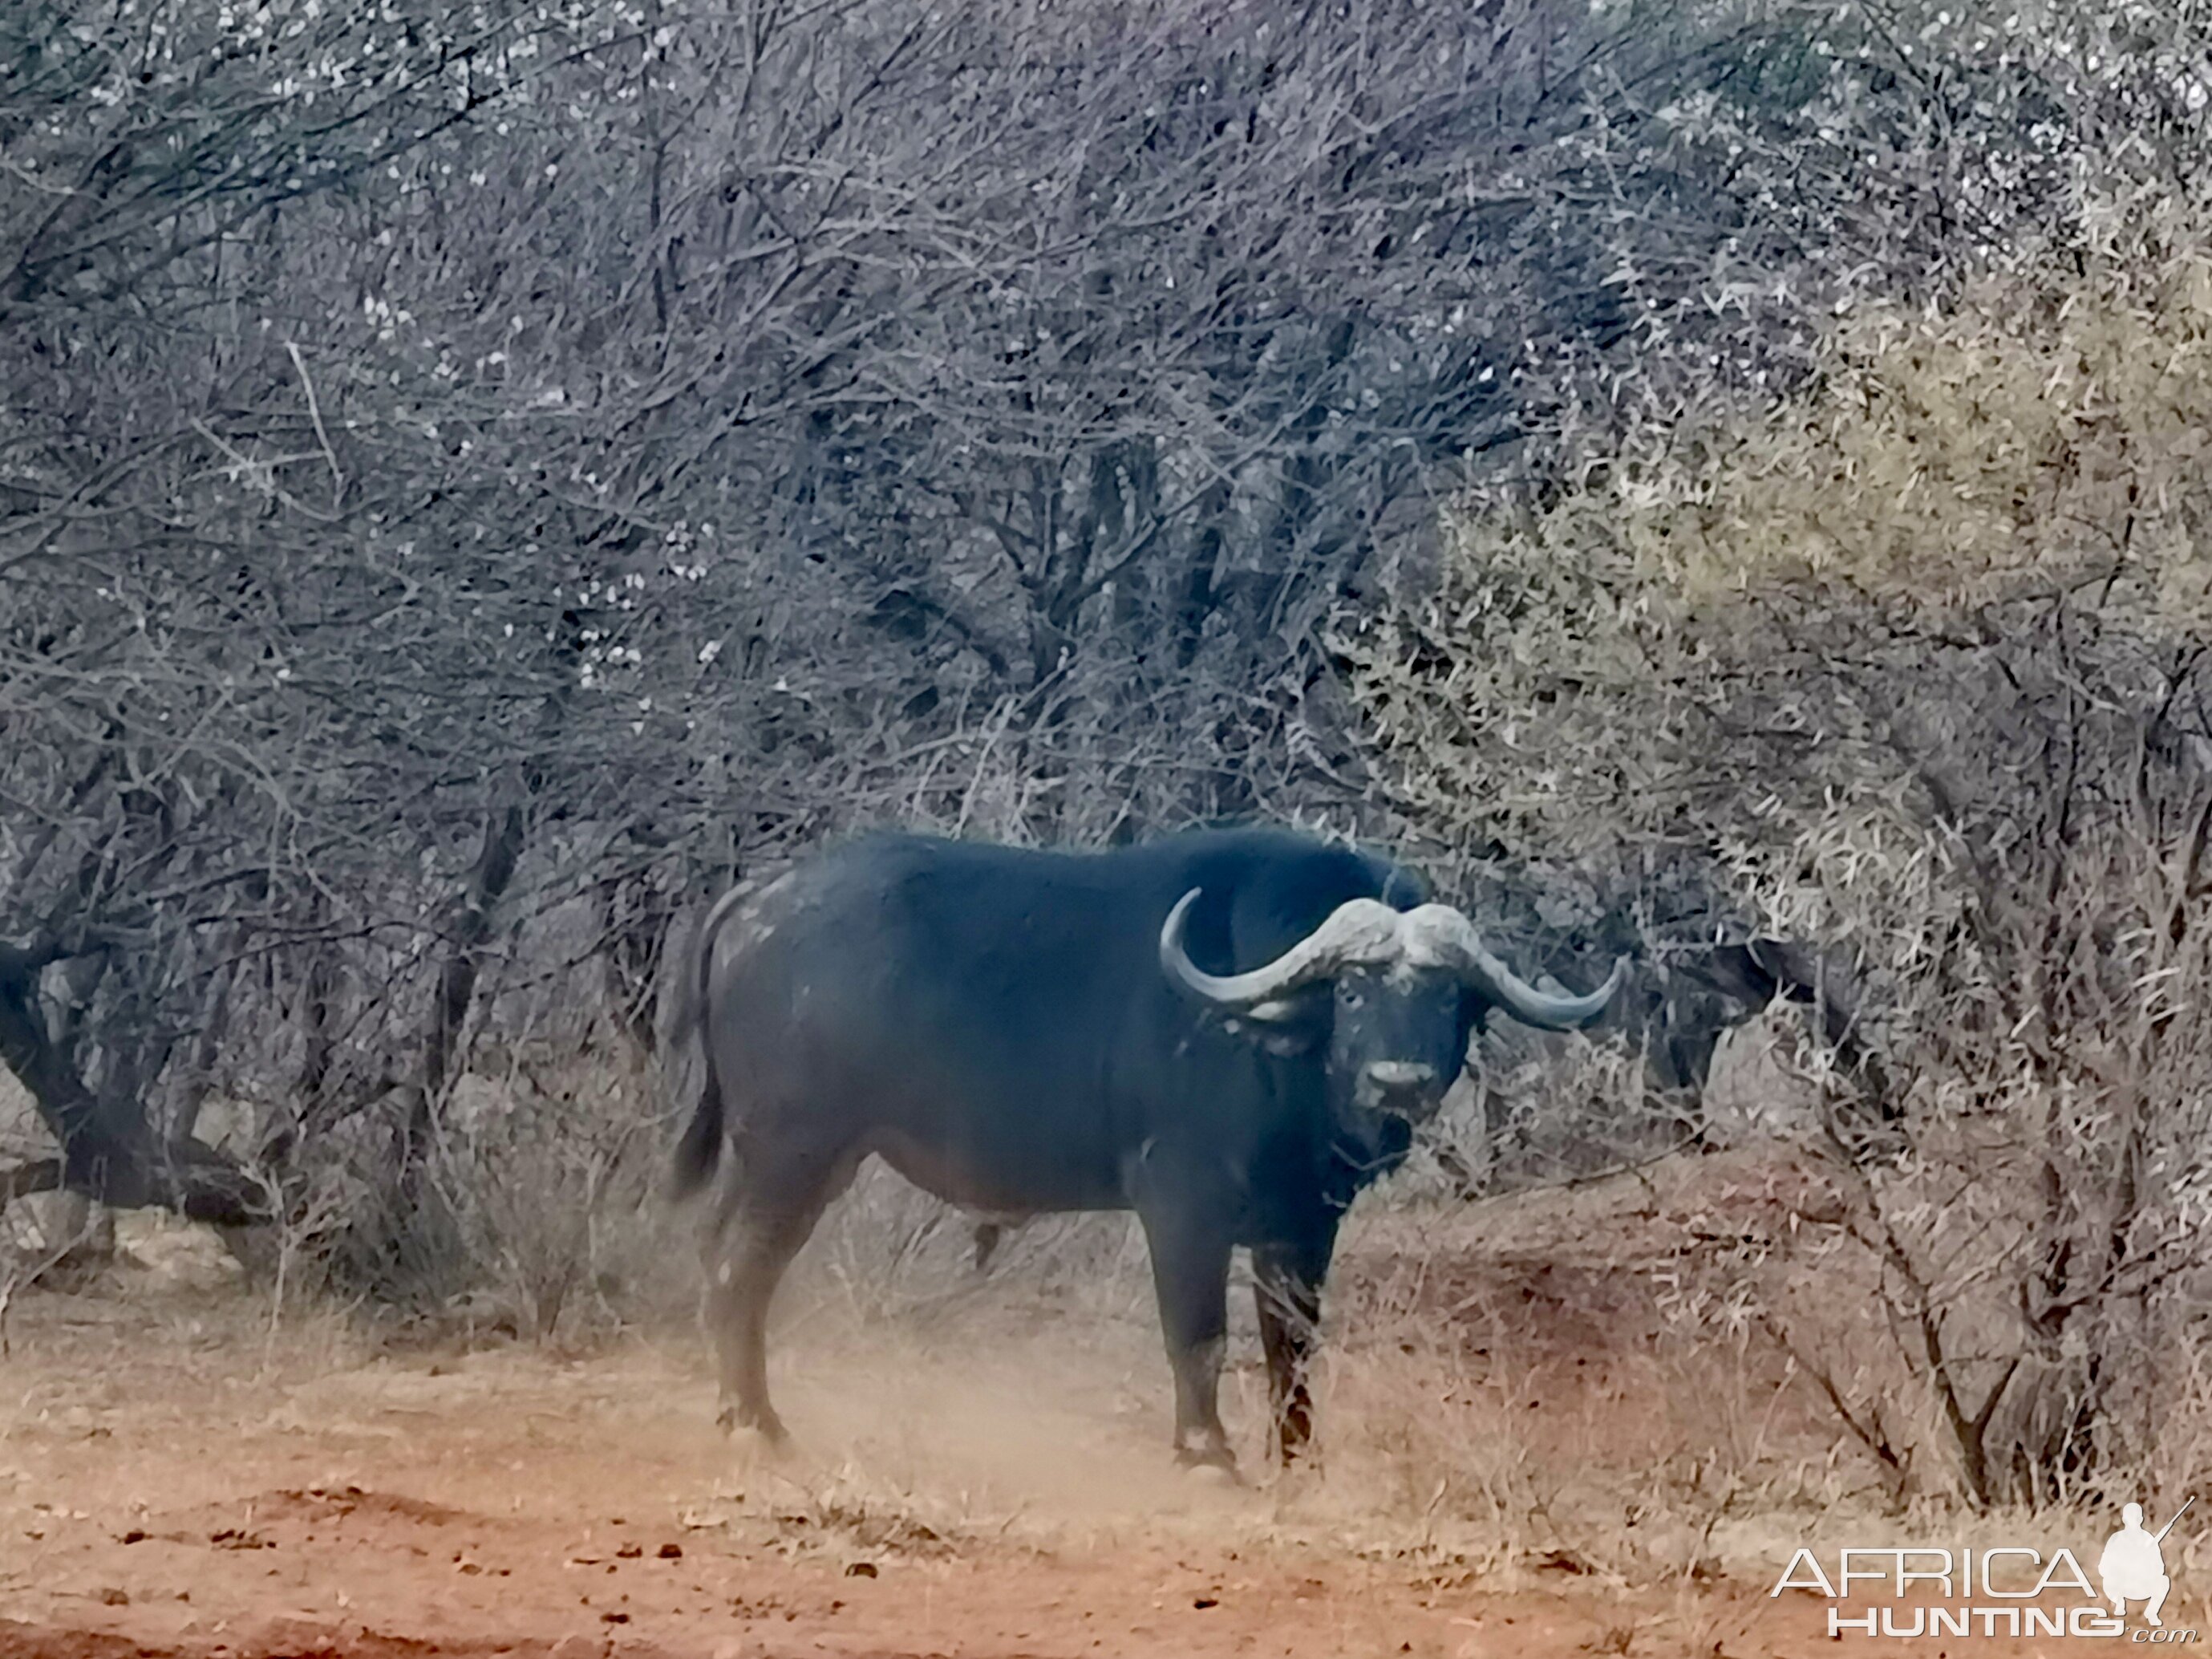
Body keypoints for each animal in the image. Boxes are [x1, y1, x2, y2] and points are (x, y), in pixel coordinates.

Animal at [663, 827, 1618, 1477]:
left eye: (1446, 995)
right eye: (1352, 990)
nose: (1400, 1080)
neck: (1275, 1049)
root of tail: (756, 902)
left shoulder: (1303, 1226)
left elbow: (1291, 1344)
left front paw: (1296, 1457)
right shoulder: (1182, 1207)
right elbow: (1197, 1333)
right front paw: (1206, 1452)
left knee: (716, 1254)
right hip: (794, 1153)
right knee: (739, 1270)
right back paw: (759, 1423)